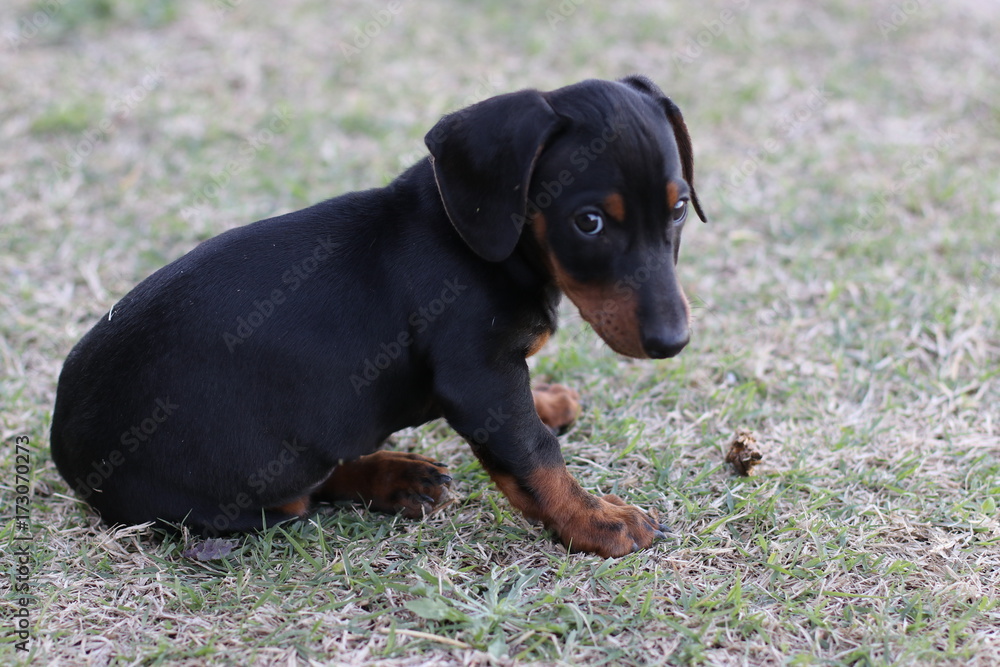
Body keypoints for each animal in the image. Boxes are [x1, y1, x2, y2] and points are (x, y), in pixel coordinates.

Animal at [50, 75, 706, 558]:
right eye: (588, 221)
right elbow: (534, 454)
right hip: (254, 476)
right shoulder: (480, 377)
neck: (481, 246)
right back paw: (391, 476)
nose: (673, 342)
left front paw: (546, 399)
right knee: (303, 495)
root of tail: (65, 448)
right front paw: (599, 520)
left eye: (678, 208)